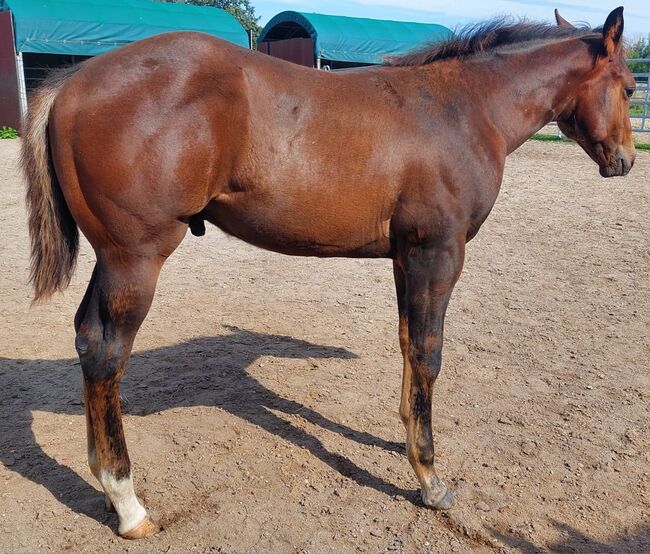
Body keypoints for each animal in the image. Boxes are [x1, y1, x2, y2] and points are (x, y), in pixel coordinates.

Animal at [21, 6, 632, 536]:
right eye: (629, 87)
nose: (625, 160)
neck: (461, 109)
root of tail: (74, 82)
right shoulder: (438, 253)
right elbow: (428, 353)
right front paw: (430, 478)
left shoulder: (406, 258)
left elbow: (407, 344)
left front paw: (406, 445)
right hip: (135, 258)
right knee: (105, 353)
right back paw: (127, 502)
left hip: (112, 259)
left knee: (85, 338)